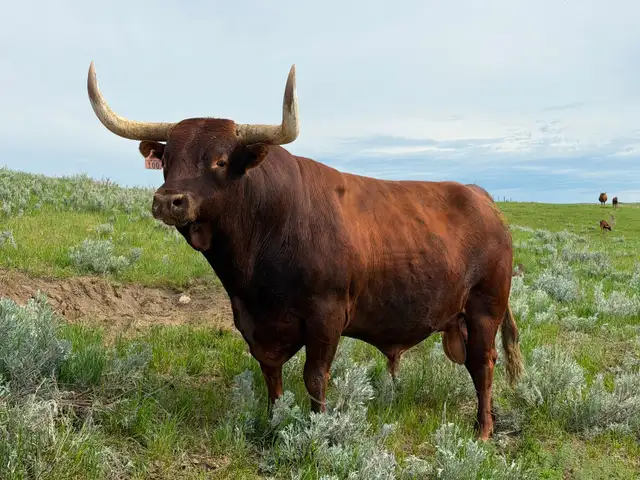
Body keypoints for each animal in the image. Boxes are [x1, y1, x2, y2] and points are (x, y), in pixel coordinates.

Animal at [86, 61, 524, 441]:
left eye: (220, 161)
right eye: (167, 160)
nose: (168, 201)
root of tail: (481, 197)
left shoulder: (326, 315)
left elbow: (314, 377)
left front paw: (318, 432)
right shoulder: (254, 321)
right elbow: (271, 372)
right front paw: (273, 422)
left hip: (485, 307)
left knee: (483, 365)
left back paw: (483, 430)